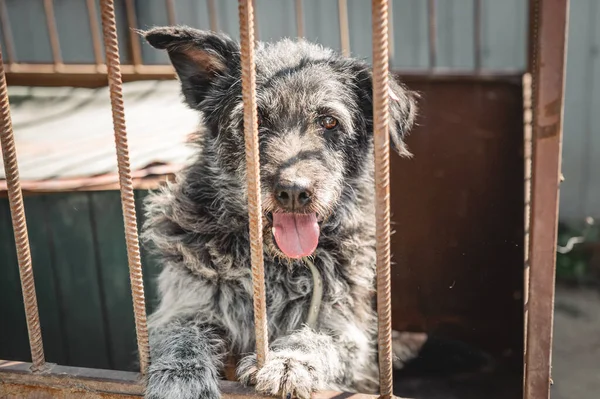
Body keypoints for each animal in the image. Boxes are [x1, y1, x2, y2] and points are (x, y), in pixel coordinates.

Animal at [142, 25, 418, 399]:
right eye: (253, 120)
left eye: (329, 122)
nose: (294, 192)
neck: (281, 265)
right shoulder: (186, 302)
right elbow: (181, 334)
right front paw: (181, 378)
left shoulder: (347, 330)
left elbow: (318, 341)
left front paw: (287, 361)